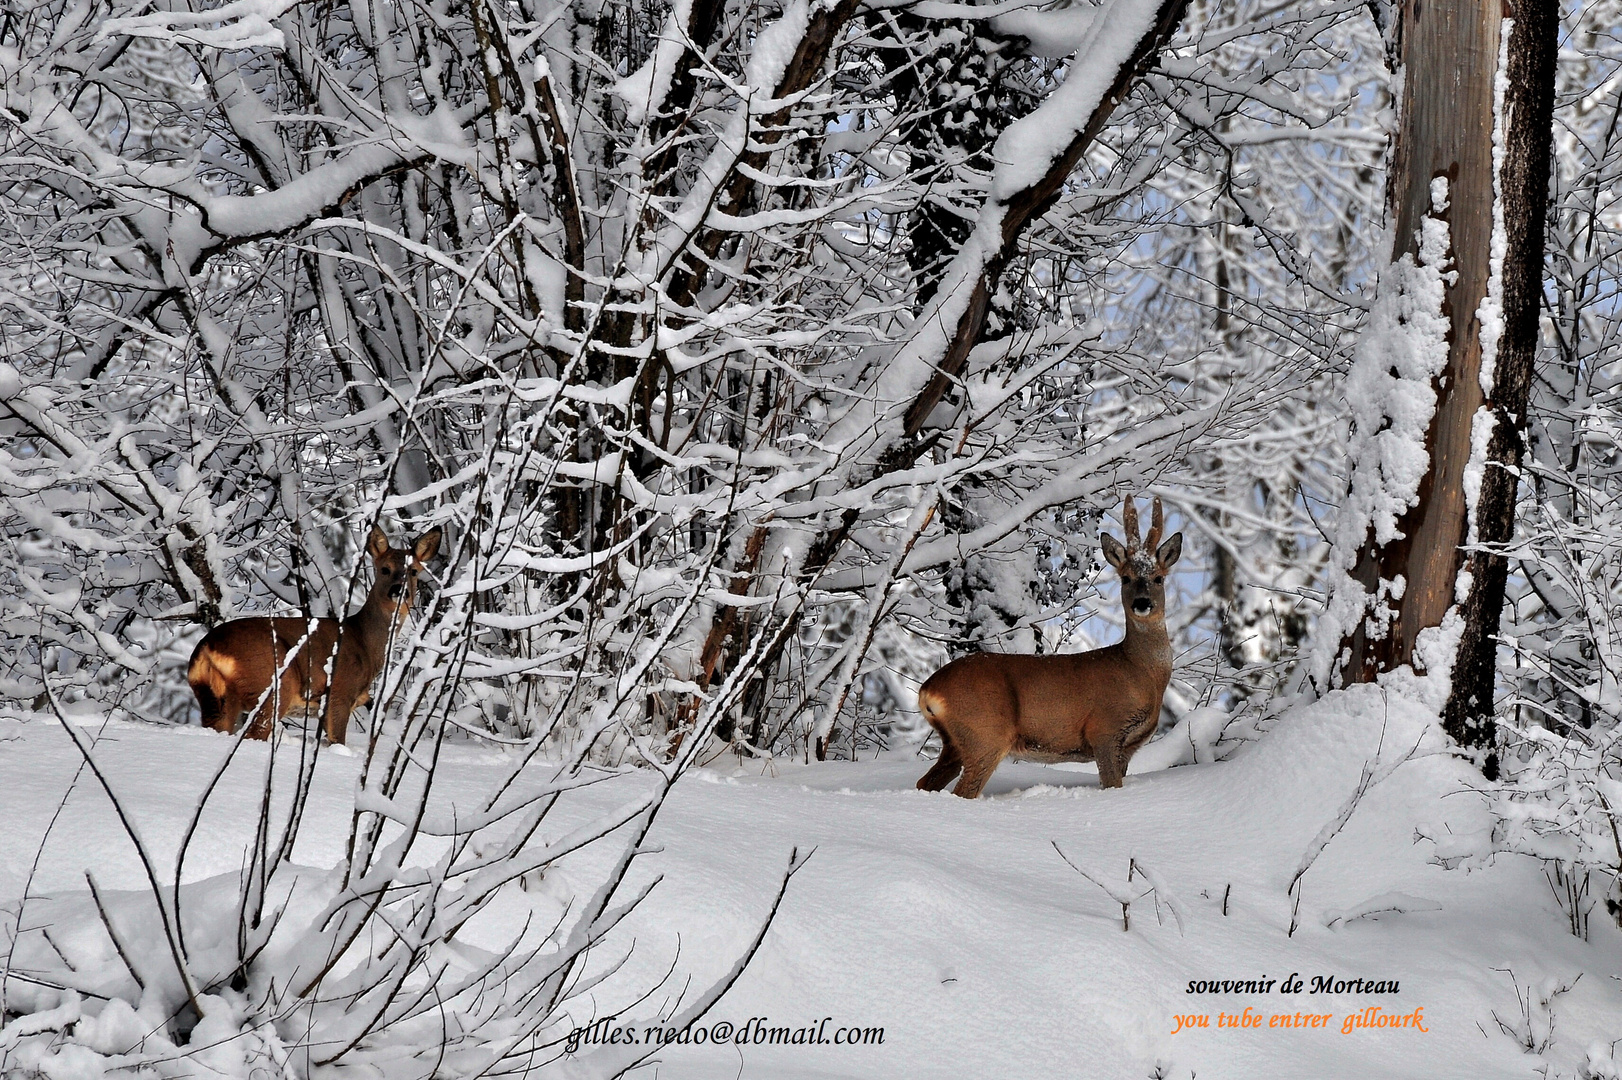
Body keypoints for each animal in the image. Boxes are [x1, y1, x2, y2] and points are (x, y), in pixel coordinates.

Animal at [187, 525, 441, 745]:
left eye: (414, 571)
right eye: (384, 569)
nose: (400, 591)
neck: (363, 642)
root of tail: (207, 648)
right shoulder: (339, 693)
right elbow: (338, 741)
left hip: (213, 698)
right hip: (272, 686)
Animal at [921, 492, 1187, 791]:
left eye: (1158, 578)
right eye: (1126, 578)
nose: (1142, 603)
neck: (1141, 673)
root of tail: (928, 690)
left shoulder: (1129, 746)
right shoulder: (1105, 729)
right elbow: (1111, 783)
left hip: (955, 743)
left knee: (925, 782)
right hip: (984, 733)